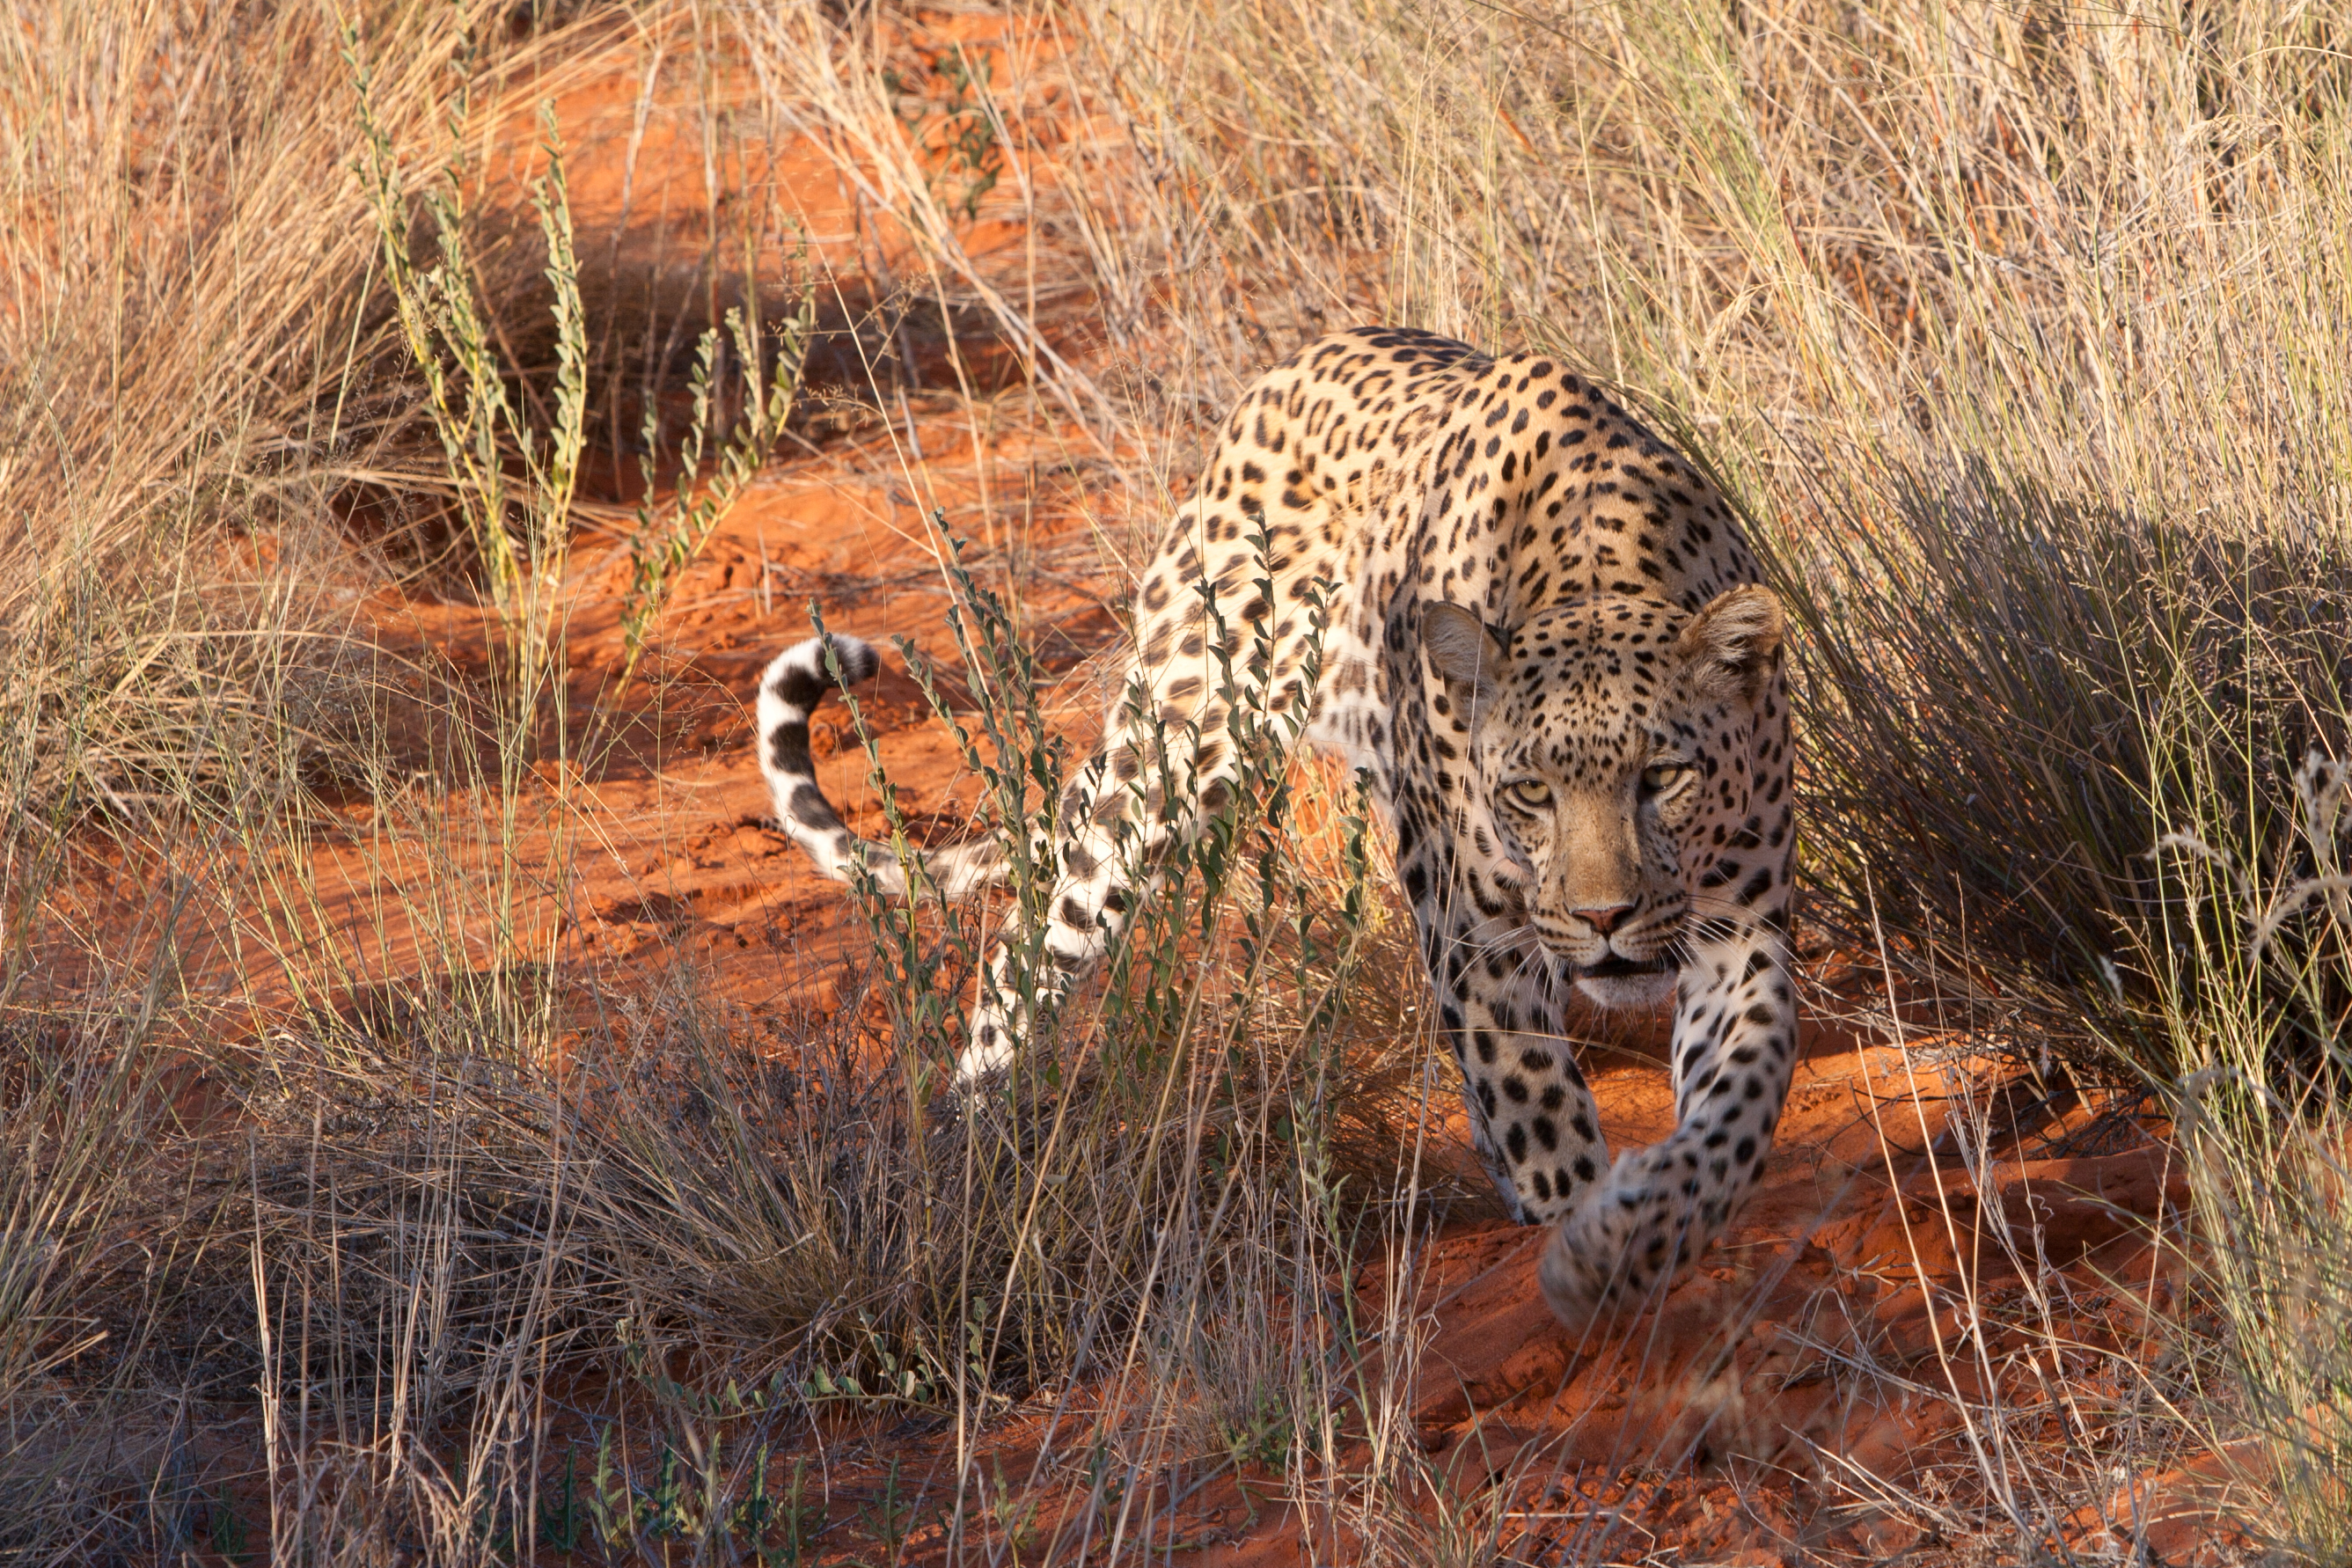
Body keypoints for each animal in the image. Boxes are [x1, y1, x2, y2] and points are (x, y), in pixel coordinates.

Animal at [752, 324, 1797, 1335]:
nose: (1604, 920)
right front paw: (1578, 1238)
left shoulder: (1737, 925)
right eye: (1531, 792)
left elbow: (1745, 1087)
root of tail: (1271, 386)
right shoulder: (1479, 933)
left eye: (1662, 778)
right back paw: (965, 1148)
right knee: (1032, 938)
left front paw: (1637, 1237)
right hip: (1170, 760)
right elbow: (1537, 1106)